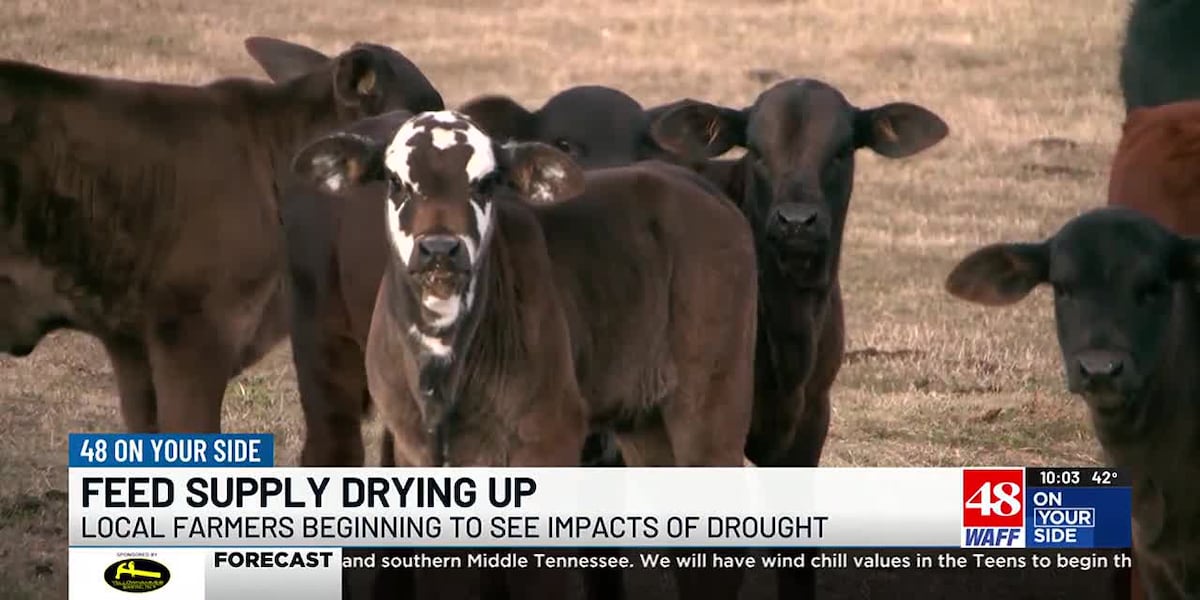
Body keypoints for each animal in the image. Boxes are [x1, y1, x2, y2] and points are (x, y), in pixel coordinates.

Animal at [290, 110, 753, 600]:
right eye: (396, 182)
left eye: (486, 183)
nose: (440, 249)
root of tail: (692, 184)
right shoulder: (415, 450)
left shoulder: (548, 437)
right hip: (644, 418)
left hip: (711, 406)